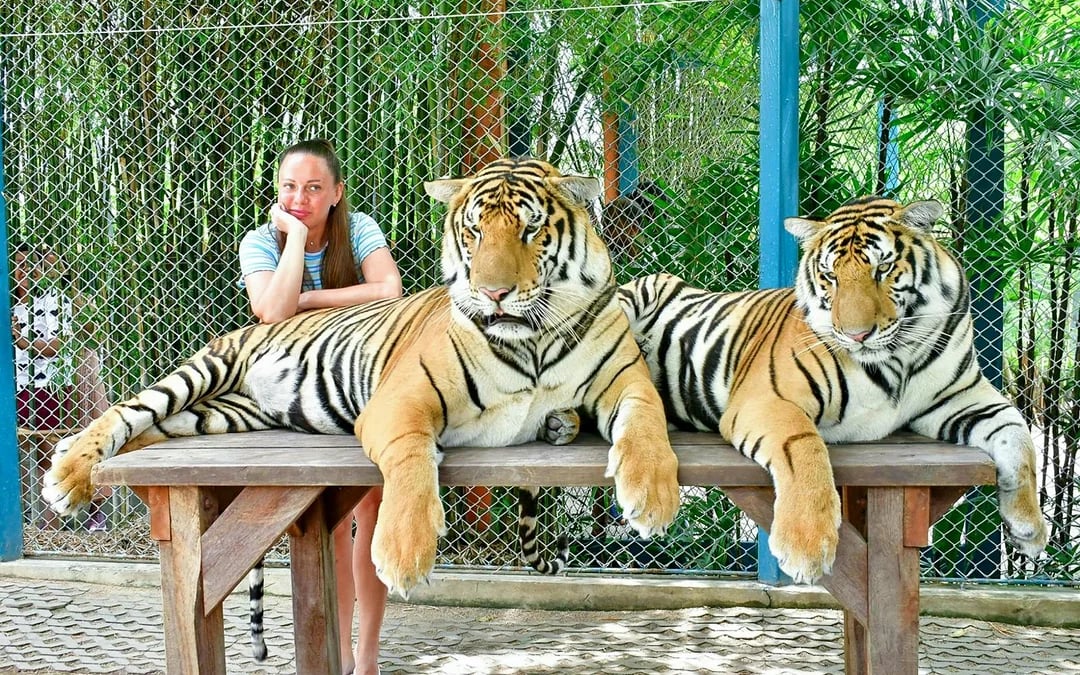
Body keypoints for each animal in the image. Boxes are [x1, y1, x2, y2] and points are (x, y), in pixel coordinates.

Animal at [42, 158, 680, 597]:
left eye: (529, 230)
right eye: (474, 232)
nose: (493, 292)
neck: (534, 339)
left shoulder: (626, 378)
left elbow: (647, 421)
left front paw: (651, 497)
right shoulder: (402, 399)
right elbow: (412, 461)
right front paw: (402, 553)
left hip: (215, 415)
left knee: (152, 430)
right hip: (206, 370)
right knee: (127, 410)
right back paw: (67, 477)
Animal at [618, 196, 1049, 583]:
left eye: (883, 268)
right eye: (831, 276)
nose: (856, 334)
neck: (898, 357)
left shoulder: (964, 398)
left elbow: (1019, 436)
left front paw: (1029, 528)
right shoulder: (768, 399)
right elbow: (804, 447)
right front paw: (806, 546)